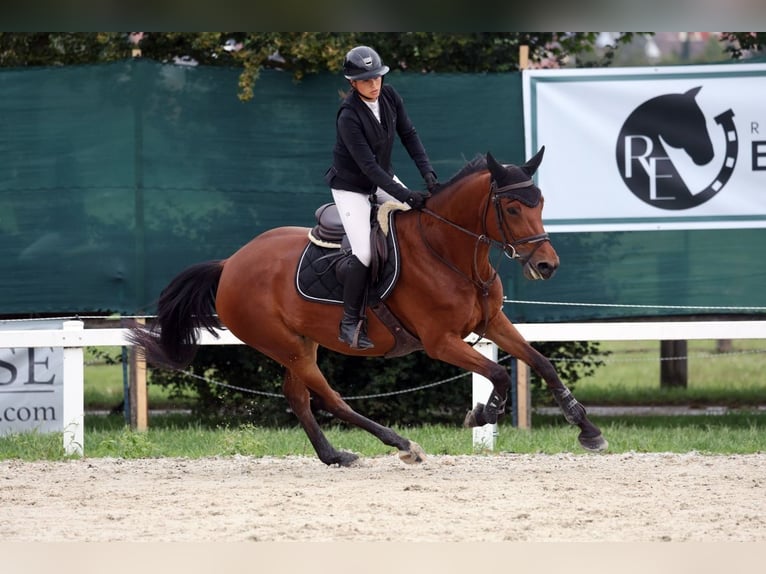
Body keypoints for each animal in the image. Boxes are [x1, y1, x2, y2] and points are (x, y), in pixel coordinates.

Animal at [132, 148, 612, 468]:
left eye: (541, 203)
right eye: (512, 208)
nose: (547, 265)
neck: (450, 252)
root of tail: (230, 263)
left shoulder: (493, 322)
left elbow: (540, 363)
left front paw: (588, 430)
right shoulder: (440, 341)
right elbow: (498, 373)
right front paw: (483, 413)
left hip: (302, 342)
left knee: (298, 396)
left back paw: (334, 456)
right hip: (285, 345)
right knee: (328, 397)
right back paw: (401, 445)